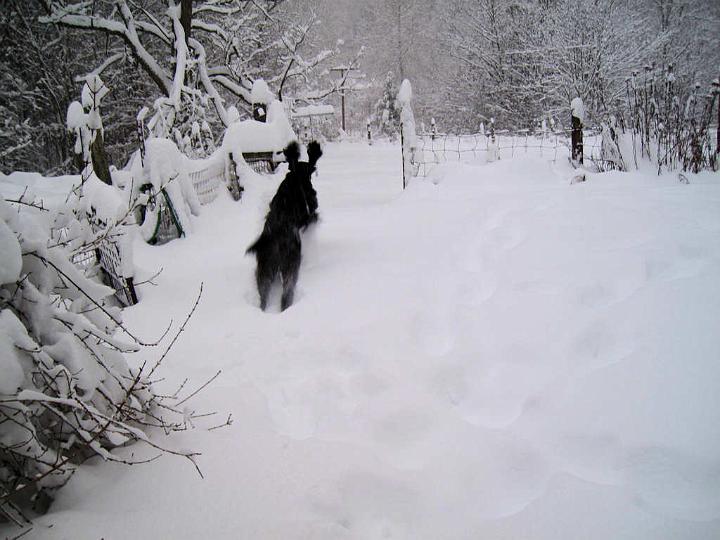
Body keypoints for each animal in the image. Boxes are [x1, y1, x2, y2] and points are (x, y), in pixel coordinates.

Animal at [248, 141, 324, 310]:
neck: (296, 178)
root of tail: (273, 239)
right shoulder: (309, 214)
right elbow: (314, 217)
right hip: (290, 267)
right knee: (286, 295)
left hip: (264, 271)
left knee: (263, 297)